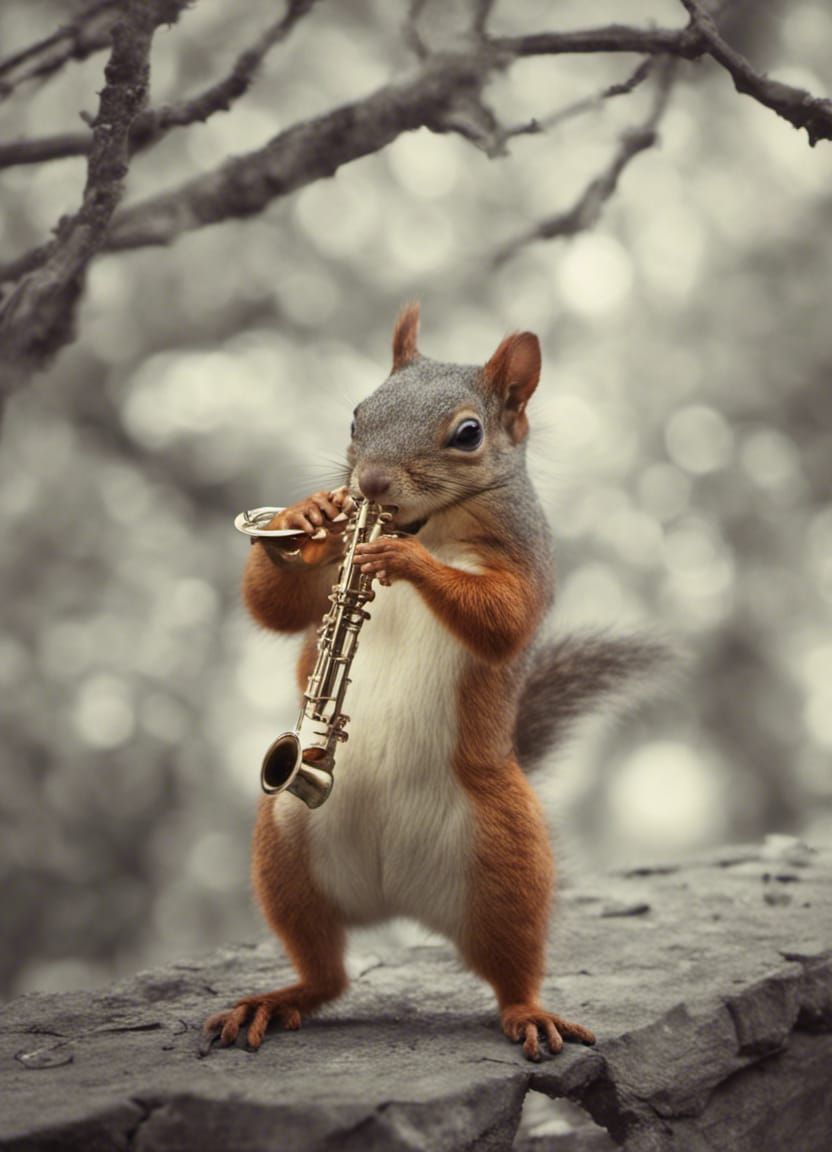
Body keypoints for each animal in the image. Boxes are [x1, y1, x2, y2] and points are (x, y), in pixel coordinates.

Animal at [204, 303, 661, 1062]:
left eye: (468, 434)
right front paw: (306, 516)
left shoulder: (526, 562)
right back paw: (275, 1000)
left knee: (511, 967)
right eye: (356, 415)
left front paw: (401, 558)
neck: (431, 523)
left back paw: (529, 1013)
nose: (368, 485)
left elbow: (502, 619)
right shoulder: (327, 576)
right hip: (285, 851)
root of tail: (397, 901)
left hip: (508, 859)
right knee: (326, 971)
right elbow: (276, 608)